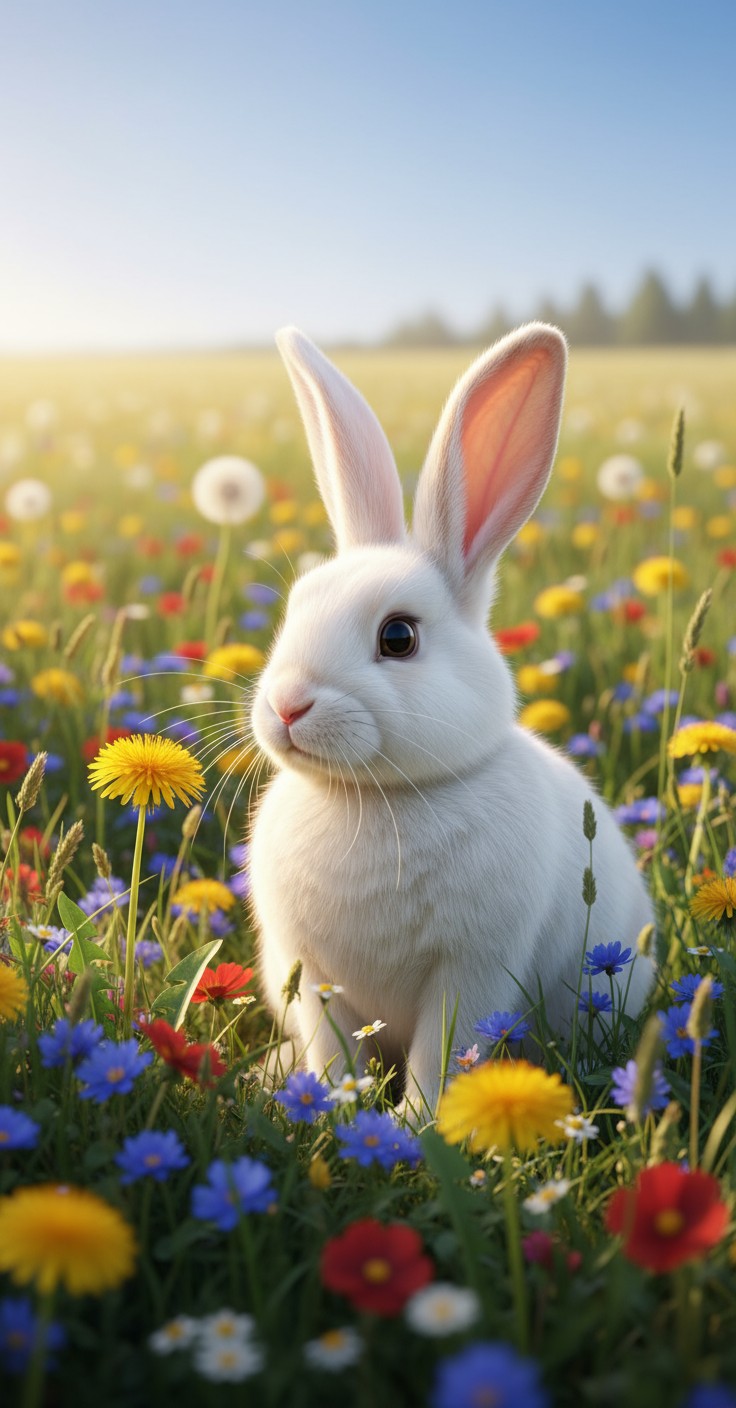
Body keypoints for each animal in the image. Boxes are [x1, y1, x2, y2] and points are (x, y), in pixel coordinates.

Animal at [248, 323, 655, 1114]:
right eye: (295, 608)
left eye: (398, 636)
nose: (287, 705)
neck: (373, 798)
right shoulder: (314, 978)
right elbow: (334, 1054)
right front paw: (326, 1108)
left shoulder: (472, 970)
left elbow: (443, 1052)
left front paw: (415, 1125)